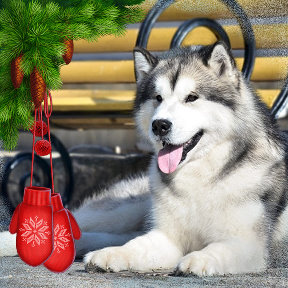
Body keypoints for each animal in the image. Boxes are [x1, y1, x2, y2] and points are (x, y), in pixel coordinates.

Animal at [0, 41, 288, 276]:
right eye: (158, 98)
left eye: (192, 98)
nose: (160, 125)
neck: (201, 178)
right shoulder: (166, 235)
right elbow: (136, 245)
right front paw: (115, 253)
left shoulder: (249, 246)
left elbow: (220, 248)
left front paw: (200, 259)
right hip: (124, 210)